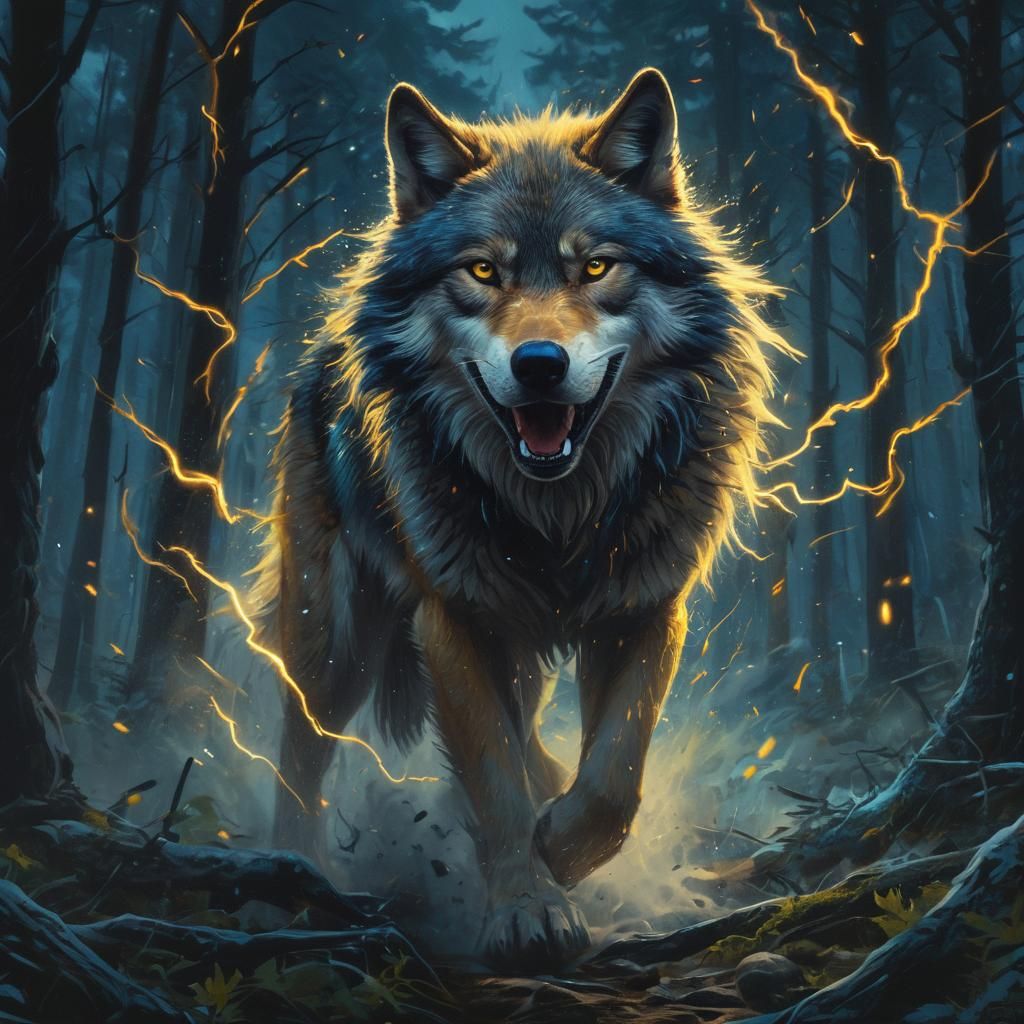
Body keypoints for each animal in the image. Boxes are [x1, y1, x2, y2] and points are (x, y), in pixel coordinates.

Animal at [255, 67, 786, 965]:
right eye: (482, 271)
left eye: (596, 265)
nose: (540, 364)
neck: (557, 516)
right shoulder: (452, 621)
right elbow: (495, 775)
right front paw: (527, 906)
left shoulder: (647, 608)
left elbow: (612, 777)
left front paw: (562, 850)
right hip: (333, 640)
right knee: (301, 750)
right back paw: (296, 868)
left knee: (528, 723)